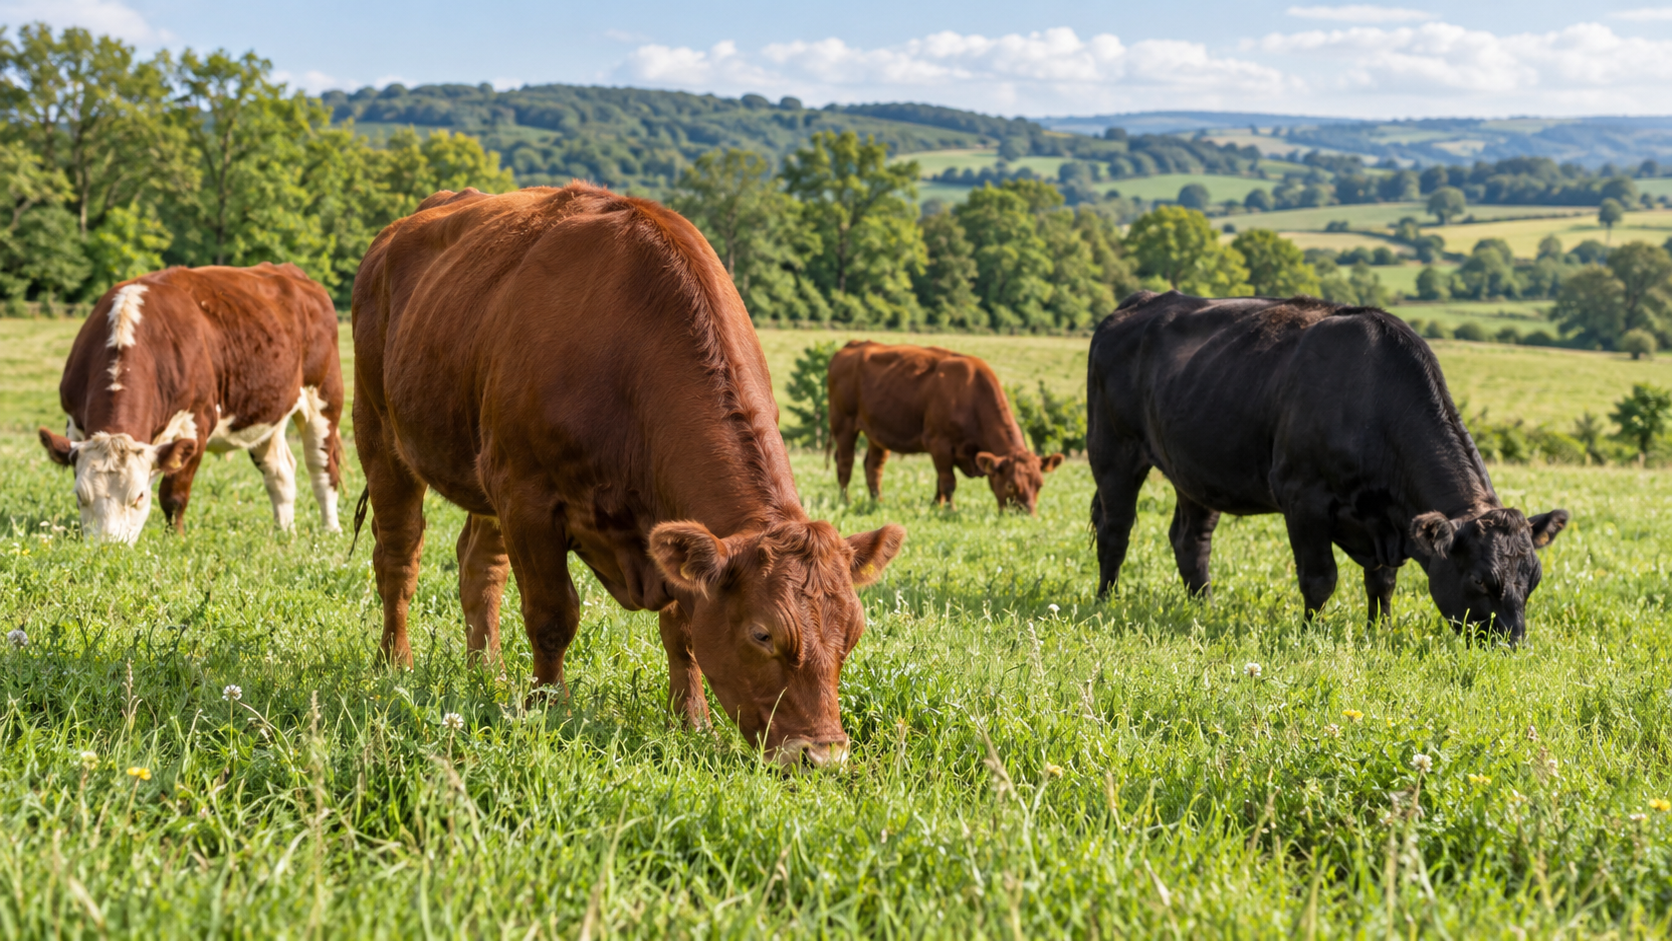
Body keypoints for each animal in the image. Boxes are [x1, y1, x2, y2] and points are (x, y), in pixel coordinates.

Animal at [38, 263, 345, 544]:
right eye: (80, 495)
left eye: (139, 496)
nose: (107, 547)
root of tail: (293, 273)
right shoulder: (74, 423)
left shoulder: (196, 422)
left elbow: (173, 493)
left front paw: (175, 538)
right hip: (266, 412)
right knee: (280, 473)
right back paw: (284, 531)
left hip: (325, 398)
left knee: (322, 468)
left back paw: (331, 530)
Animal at [350, 184, 906, 769]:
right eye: (763, 634)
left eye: (853, 634)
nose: (822, 756)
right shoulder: (526, 497)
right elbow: (552, 615)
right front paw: (550, 708)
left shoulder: (668, 530)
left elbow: (683, 632)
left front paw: (692, 722)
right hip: (381, 437)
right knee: (399, 559)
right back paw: (396, 663)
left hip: (482, 473)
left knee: (479, 569)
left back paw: (488, 673)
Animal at [827, 341, 1063, 513]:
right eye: (1010, 485)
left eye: (1040, 484)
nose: (1028, 514)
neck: (971, 395)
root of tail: (854, 344)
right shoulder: (939, 445)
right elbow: (948, 482)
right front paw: (950, 510)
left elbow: (940, 482)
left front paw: (935, 506)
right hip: (843, 423)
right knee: (845, 463)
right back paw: (845, 500)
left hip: (877, 432)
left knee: (874, 467)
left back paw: (878, 502)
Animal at [1087, 291, 1568, 642]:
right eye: (1480, 581)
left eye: (1533, 580)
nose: (1511, 645)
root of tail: (1140, 301)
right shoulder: (1302, 497)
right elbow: (1320, 578)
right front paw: (1308, 634)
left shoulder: (1388, 520)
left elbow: (1382, 583)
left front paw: (1379, 632)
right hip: (1112, 450)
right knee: (1116, 531)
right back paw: (1103, 604)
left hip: (1195, 469)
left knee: (1192, 541)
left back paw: (1202, 608)